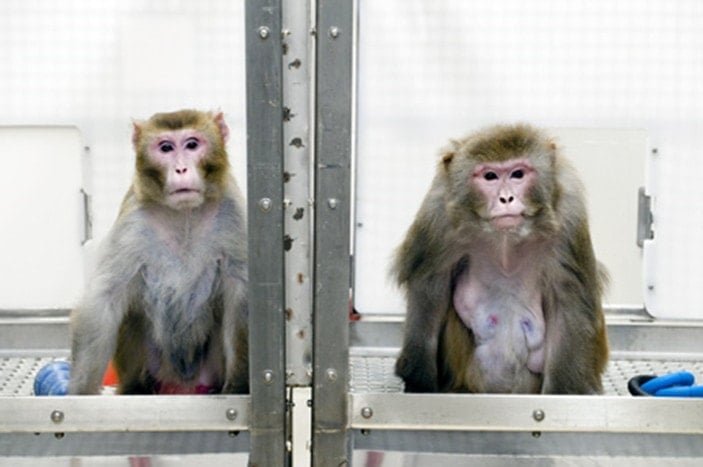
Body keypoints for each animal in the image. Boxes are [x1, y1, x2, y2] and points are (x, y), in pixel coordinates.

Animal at [68, 109, 248, 395]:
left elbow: (240, 295)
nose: (181, 168)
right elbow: (104, 299)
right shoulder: (133, 217)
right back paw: (136, 388)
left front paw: (239, 385)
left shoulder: (232, 213)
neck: (184, 214)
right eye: (165, 148)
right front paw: (79, 392)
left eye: (192, 145)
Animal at [392, 124, 608, 394]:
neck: (506, 239)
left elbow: (569, 304)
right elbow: (429, 291)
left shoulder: (570, 216)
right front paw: (420, 382)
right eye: (490, 177)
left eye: (517, 174)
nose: (506, 199)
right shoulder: (438, 217)